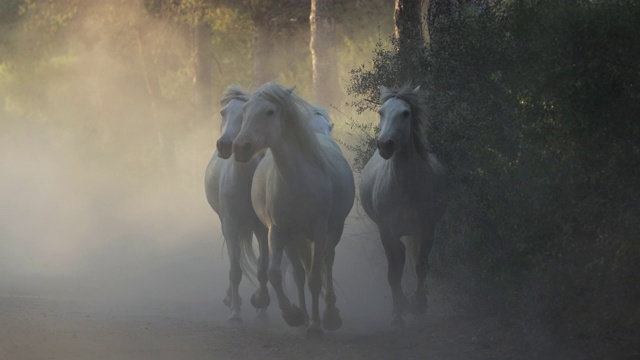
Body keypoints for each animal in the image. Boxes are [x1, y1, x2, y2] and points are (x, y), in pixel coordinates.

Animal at [202, 85, 270, 324]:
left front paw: (262, 306)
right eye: (223, 113)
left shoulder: (262, 229)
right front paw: (235, 312)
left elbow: (262, 268)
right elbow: (235, 270)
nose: (224, 145)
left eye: (246, 114)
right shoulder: (230, 225)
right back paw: (231, 298)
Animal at [234, 83, 358, 336]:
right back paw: (303, 316)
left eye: (270, 111)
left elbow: (315, 278)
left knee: (327, 263)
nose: (240, 147)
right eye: (246, 108)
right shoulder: (278, 232)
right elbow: (275, 274)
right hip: (294, 239)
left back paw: (329, 315)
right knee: (299, 275)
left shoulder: (319, 231)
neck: (298, 182)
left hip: (333, 231)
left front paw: (317, 325)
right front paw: (293, 315)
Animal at [360, 86, 444, 328]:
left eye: (405, 113)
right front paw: (399, 312)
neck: (405, 189)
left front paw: (418, 305)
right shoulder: (387, 233)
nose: (384, 144)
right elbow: (393, 273)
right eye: (381, 112)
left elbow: (420, 267)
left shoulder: (427, 230)